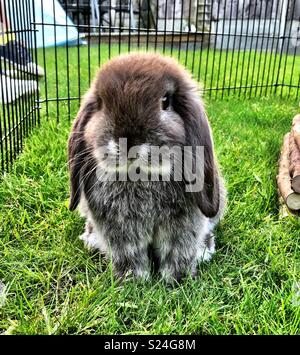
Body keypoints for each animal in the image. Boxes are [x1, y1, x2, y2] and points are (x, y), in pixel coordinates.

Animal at [68, 52, 226, 284]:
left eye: (165, 101)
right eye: (102, 103)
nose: (127, 141)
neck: (141, 176)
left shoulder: (183, 226)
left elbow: (179, 253)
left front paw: (177, 280)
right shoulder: (119, 229)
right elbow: (129, 255)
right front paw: (133, 281)